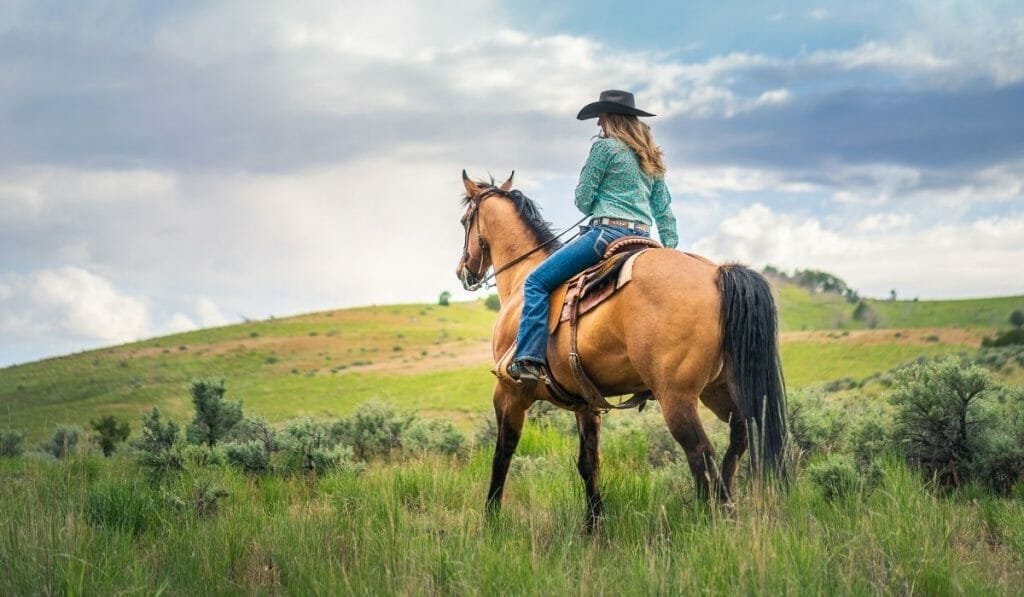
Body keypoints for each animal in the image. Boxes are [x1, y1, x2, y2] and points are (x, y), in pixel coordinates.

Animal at [454, 173, 782, 532]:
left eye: (464, 221)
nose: (463, 271)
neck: (523, 278)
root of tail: (717, 273)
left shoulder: (509, 392)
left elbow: (502, 453)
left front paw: (490, 519)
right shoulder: (586, 403)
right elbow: (588, 463)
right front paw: (593, 524)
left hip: (677, 398)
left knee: (701, 454)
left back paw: (708, 520)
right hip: (720, 390)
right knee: (740, 438)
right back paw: (726, 511)